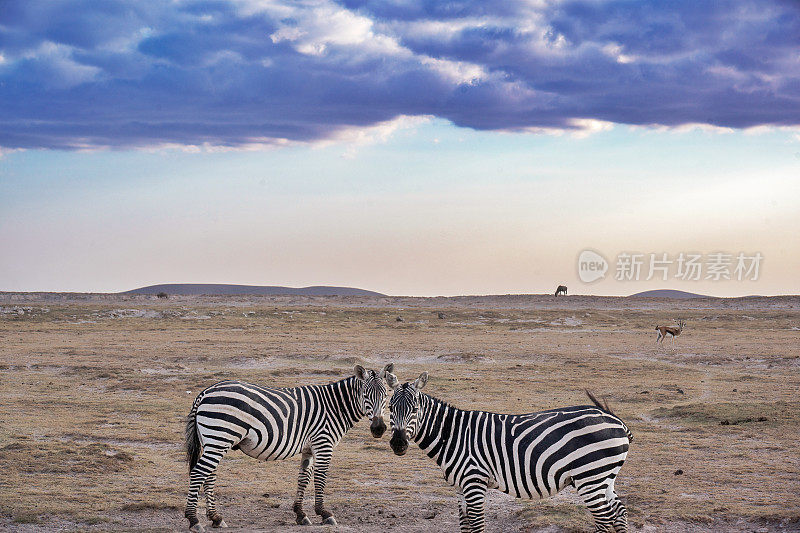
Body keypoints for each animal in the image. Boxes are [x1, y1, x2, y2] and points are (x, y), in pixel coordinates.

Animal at [182, 364, 394, 528]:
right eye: (366, 395)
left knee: (209, 475)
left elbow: (303, 478)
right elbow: (320, 478)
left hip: (213, 441)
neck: (334, 407)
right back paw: (194, 520)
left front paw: (301, 514)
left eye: (386, 395)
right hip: (219, 438)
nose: (379, 428)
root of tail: (204, 393)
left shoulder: (309, 448)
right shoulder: (323, 443)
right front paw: (324, 513)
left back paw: (216, 518)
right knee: (199, 473)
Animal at [386, 372, 632, 528]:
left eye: (415, 409)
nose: (398, 444)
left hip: (590, 476)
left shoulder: (475, 482)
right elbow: (465, 525)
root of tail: (616, 420)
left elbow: (477, 525)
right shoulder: (459, 487)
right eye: (389, 408)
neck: (453, 435)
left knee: (604, 519)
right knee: (619, 513)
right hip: (604, 477)